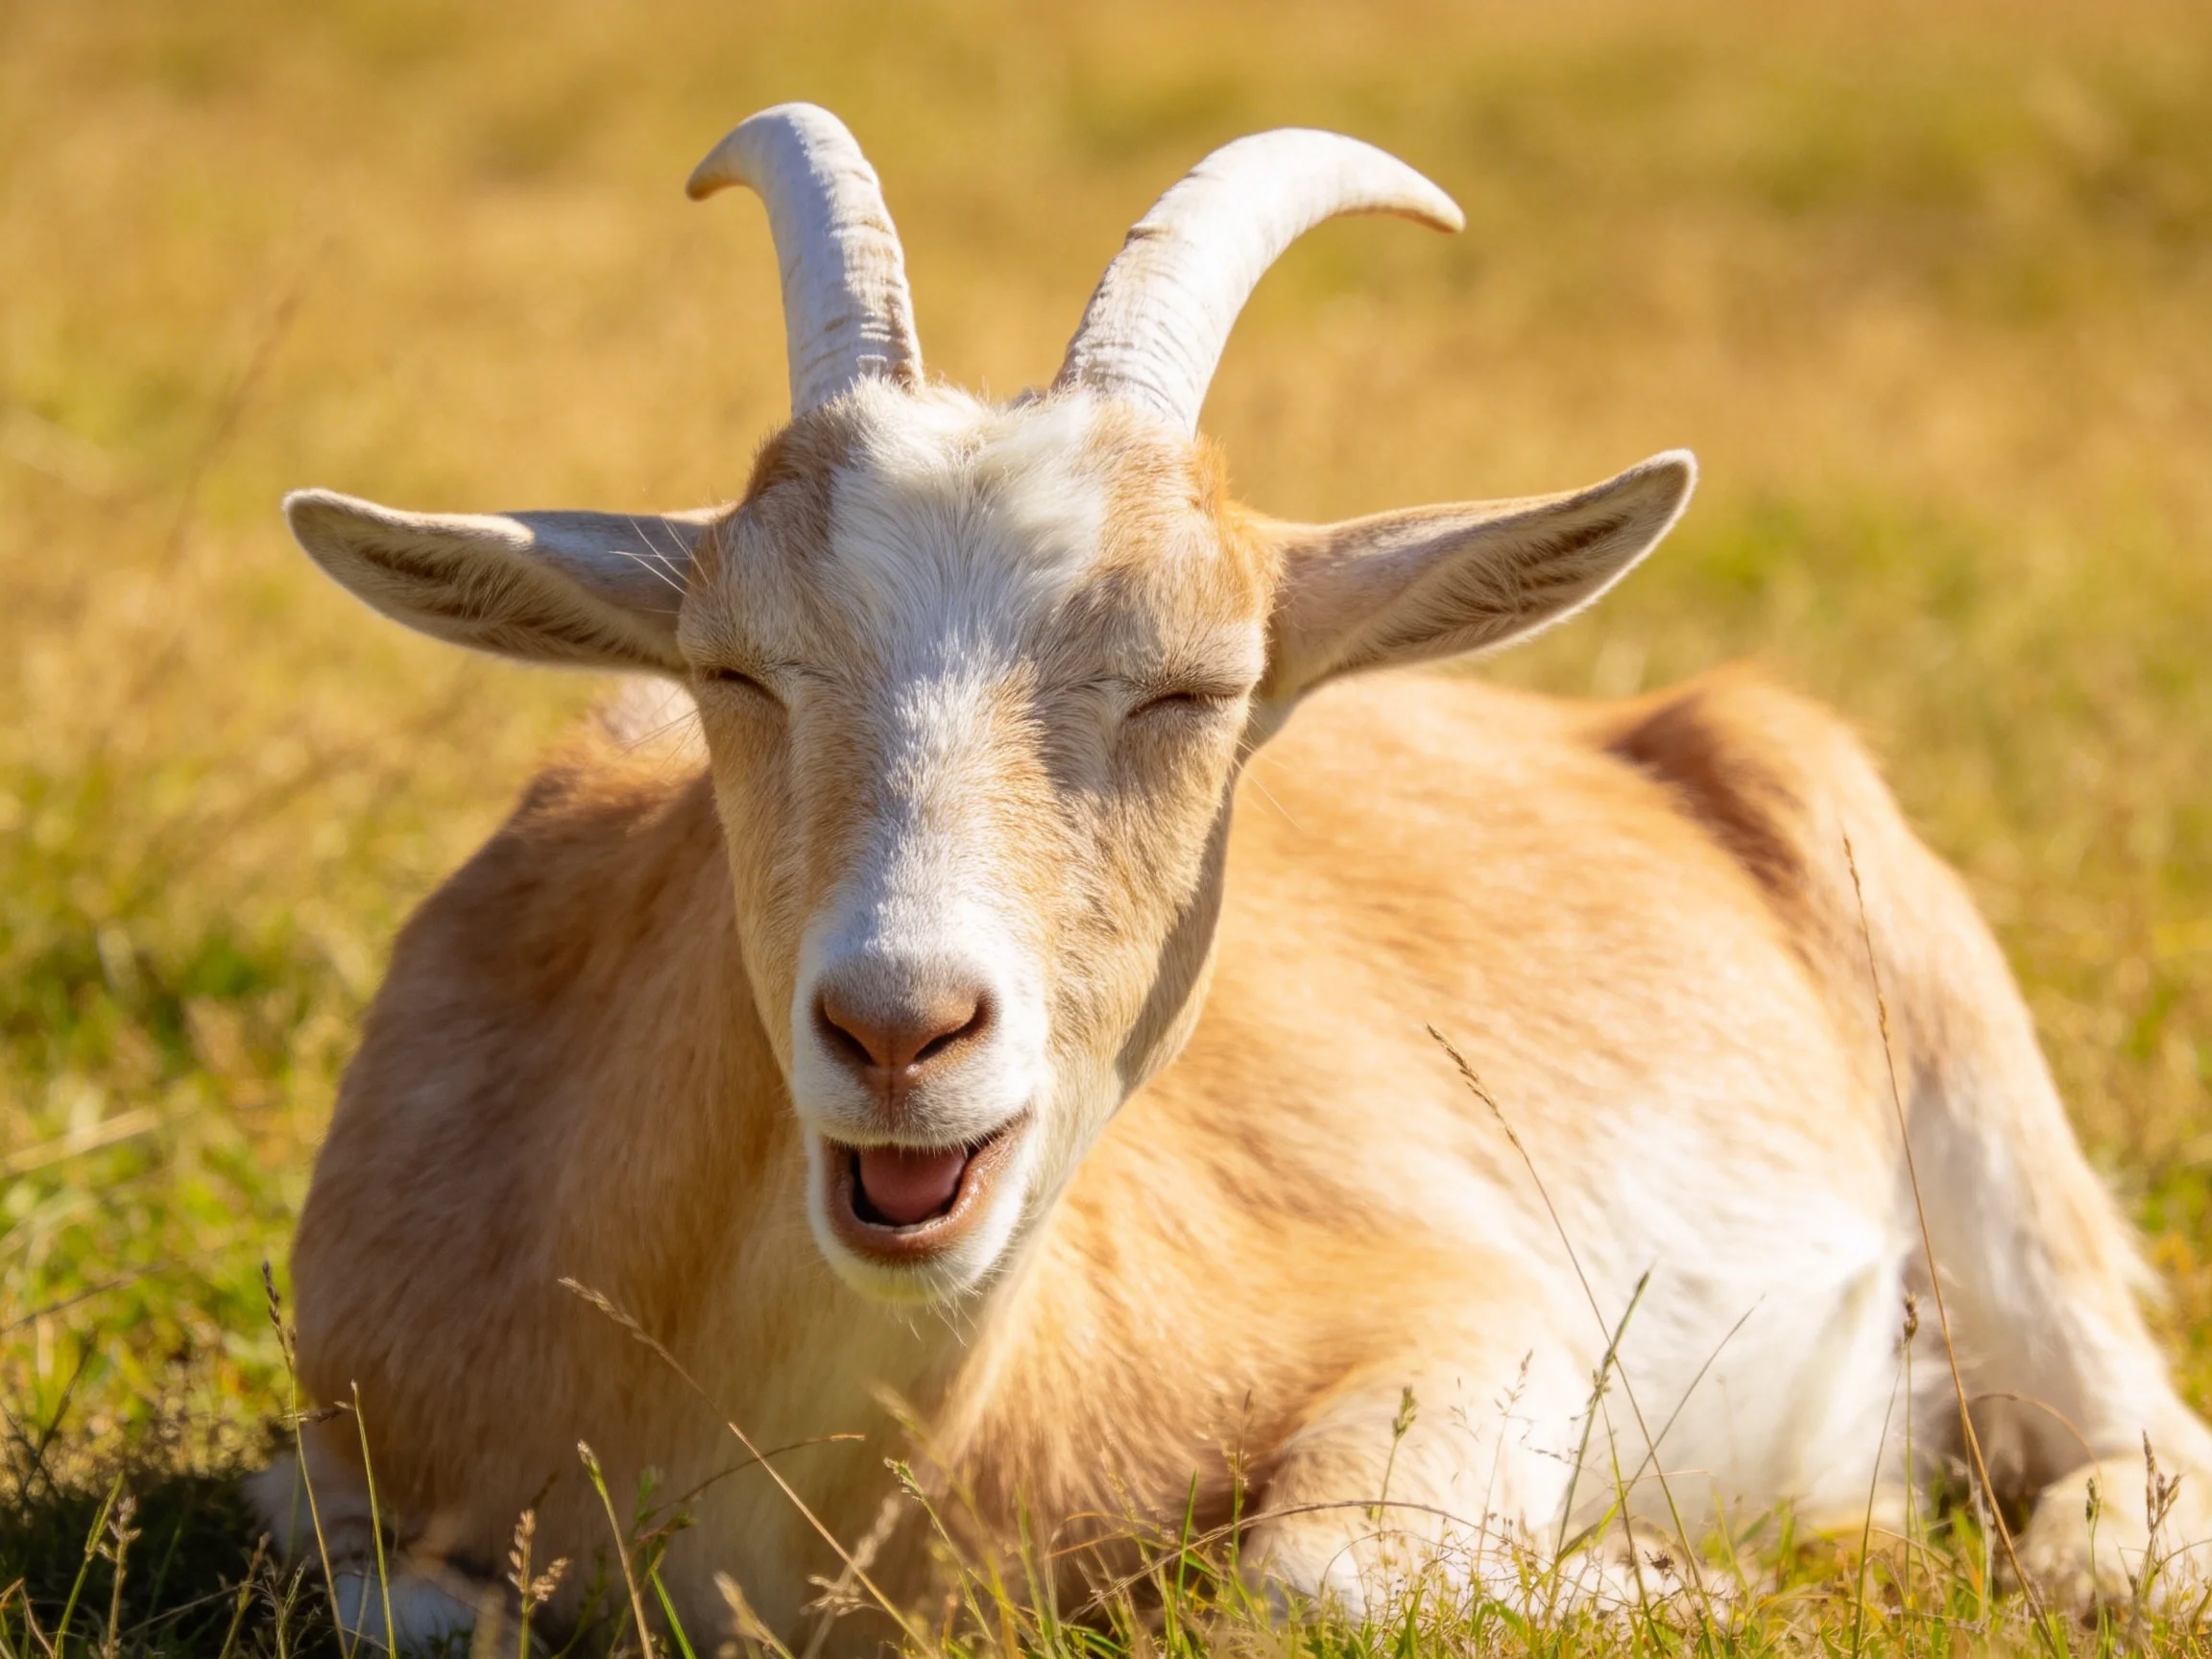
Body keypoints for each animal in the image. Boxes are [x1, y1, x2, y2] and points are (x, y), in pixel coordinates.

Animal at [257, 104, 2212, 1645]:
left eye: (1193, 686)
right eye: (730, 671)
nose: (900, 1029)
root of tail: (1649, 725)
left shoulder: (1469, 1304)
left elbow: (1308, 1577)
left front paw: (1699, 1576)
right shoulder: (348, 1461)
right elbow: (405, 1606)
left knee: (2134, 1431)